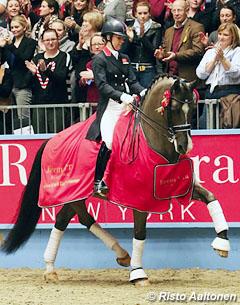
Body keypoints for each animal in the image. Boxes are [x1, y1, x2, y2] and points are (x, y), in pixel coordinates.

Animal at [1, 75, 231, 284]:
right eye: (173, 108)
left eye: (191, 108)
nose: (185, 146)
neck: (152, 142)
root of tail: (50, 140)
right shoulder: (139, 197)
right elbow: (140, 233)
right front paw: (138, 274)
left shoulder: (178, 185)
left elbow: (211, 197)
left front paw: (222, 243)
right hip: (69, 192)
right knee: (80, 218)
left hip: (74, 194)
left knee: (64, 220)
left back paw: (58, 267)